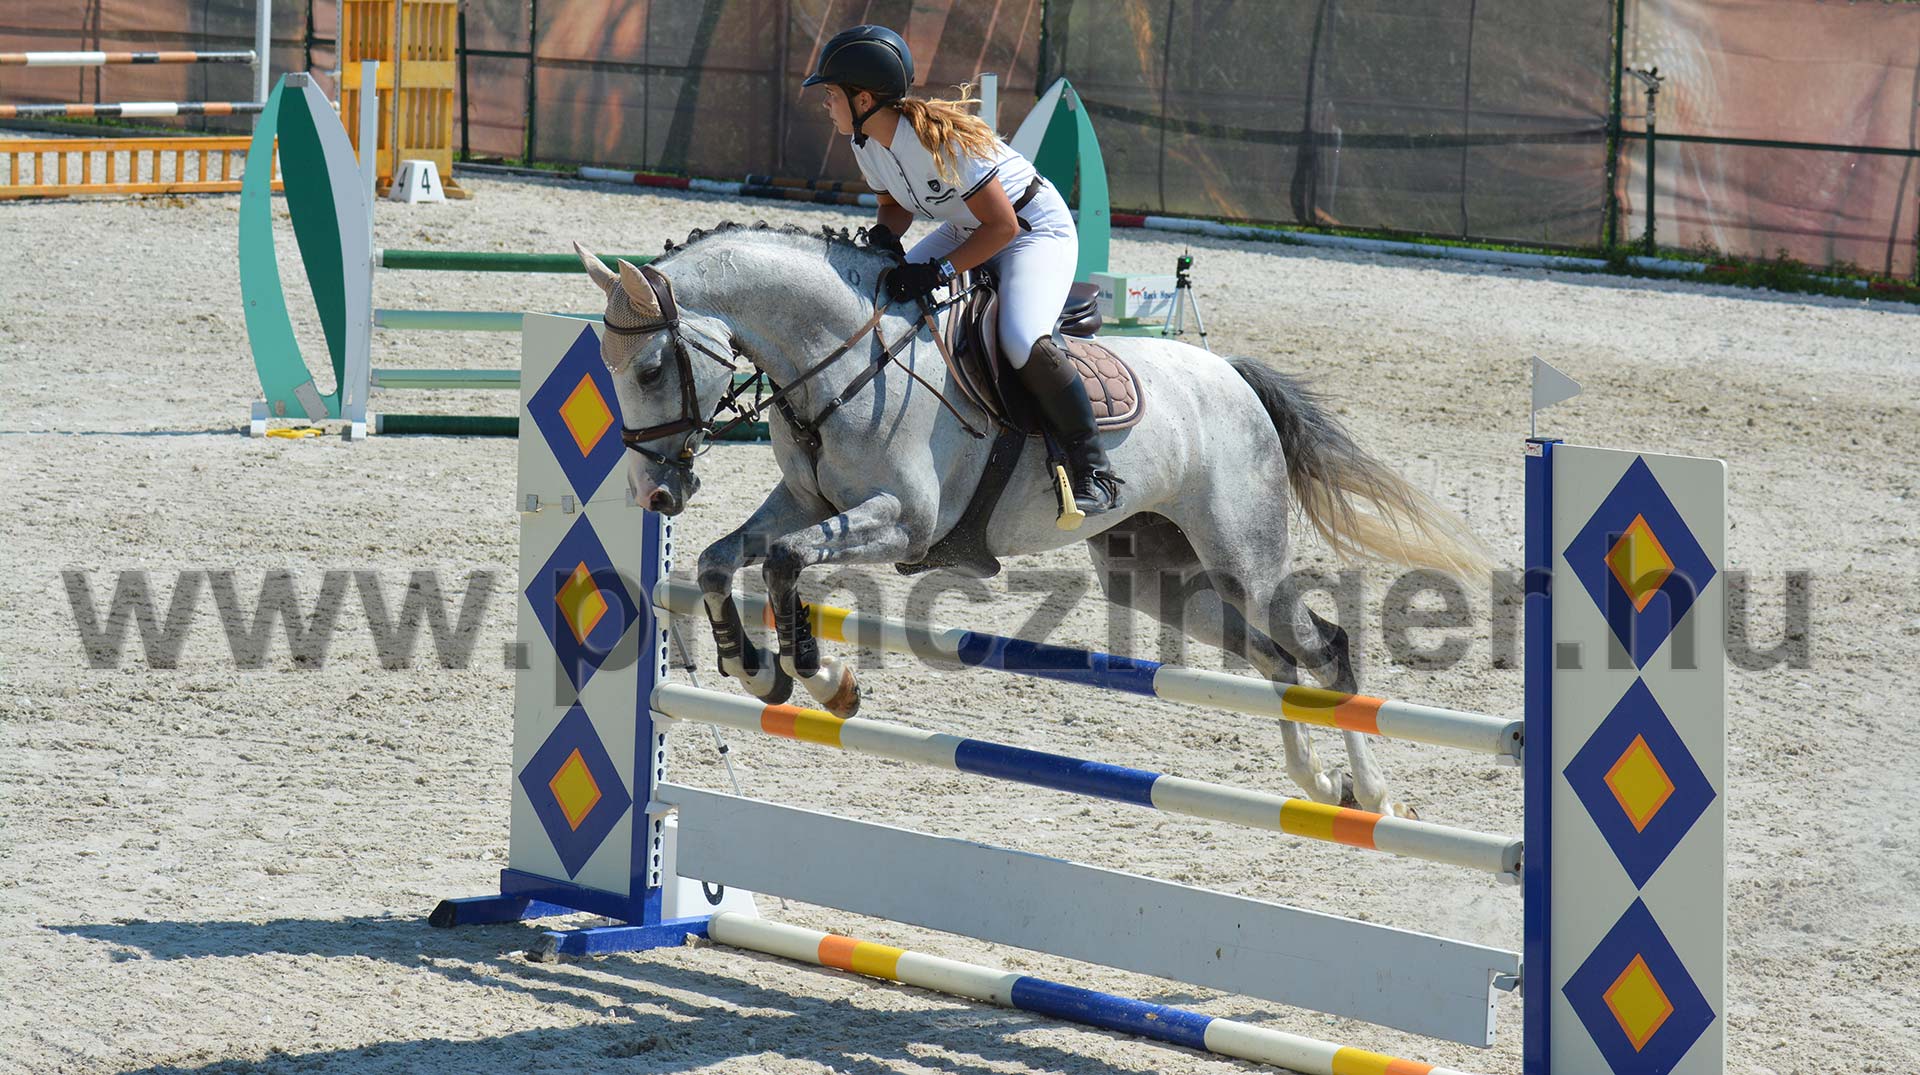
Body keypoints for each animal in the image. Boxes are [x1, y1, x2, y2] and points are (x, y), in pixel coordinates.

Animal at [573, 223, 1488, 819]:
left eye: (649, 367)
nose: (654, 494)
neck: (843, 356)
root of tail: (1229, 374)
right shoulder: (808, 503)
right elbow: (721, 561)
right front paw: (759, 670)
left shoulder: (902, 521)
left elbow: (787, 564)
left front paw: (824, 679)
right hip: (1158, 574)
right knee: (1277, 659)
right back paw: (1318, 785)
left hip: (1243, 556)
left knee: (1323, 647)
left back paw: (1369, 793)